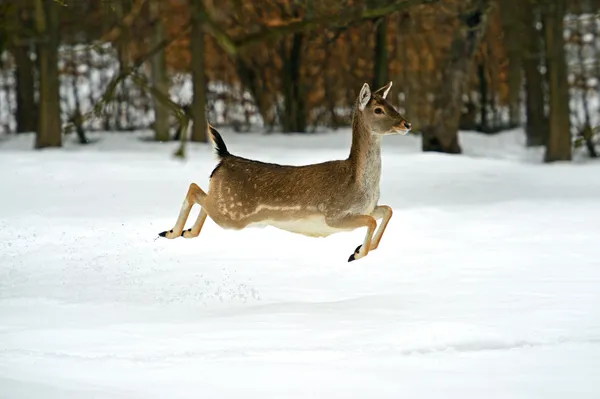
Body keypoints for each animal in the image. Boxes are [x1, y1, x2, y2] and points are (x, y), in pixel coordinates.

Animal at [158, 81, 412, 262]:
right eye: (378, 109)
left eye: (392, 105)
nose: (406, 124)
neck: (360, 185)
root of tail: (224, 157)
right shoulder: (334, 215)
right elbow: (371, 220)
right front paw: (357, 253)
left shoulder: (367, 208)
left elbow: (387, 210)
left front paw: (364, 247)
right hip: (233, 214)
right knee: (194, 189)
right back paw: (170, 232)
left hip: (225, 204)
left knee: (201, 193)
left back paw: (186, 231)